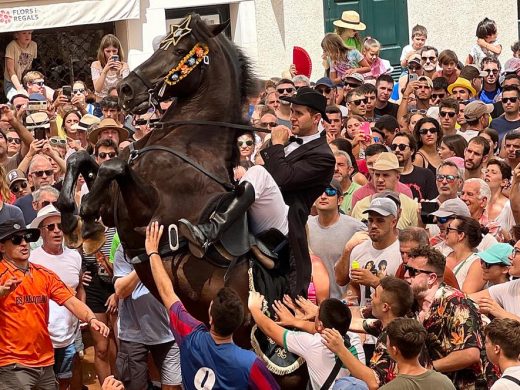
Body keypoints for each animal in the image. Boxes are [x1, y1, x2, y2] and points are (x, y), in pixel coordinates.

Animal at [57, 13, 308, 388]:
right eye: (160, 44)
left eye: (179, 50)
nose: (125, 88)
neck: (190, 142)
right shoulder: (116, 206)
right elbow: (84, 160)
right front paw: (72, 218)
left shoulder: (145, 211)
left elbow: (114, 167)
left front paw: (83, 220)